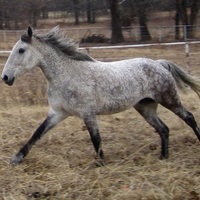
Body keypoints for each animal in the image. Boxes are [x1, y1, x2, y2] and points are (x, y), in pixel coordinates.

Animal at [1, 26, 200, 164]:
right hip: (146, 107)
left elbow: (96, 139)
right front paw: (17, 159)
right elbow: (37, 133)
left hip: (169, 99)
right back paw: (163, 157)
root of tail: (159, 63)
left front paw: (103, 164)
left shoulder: (88, 113)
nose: (5, 77)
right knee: (163, 129)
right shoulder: (57, 113)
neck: (67, 75)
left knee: (189, 118)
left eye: (21, 50)